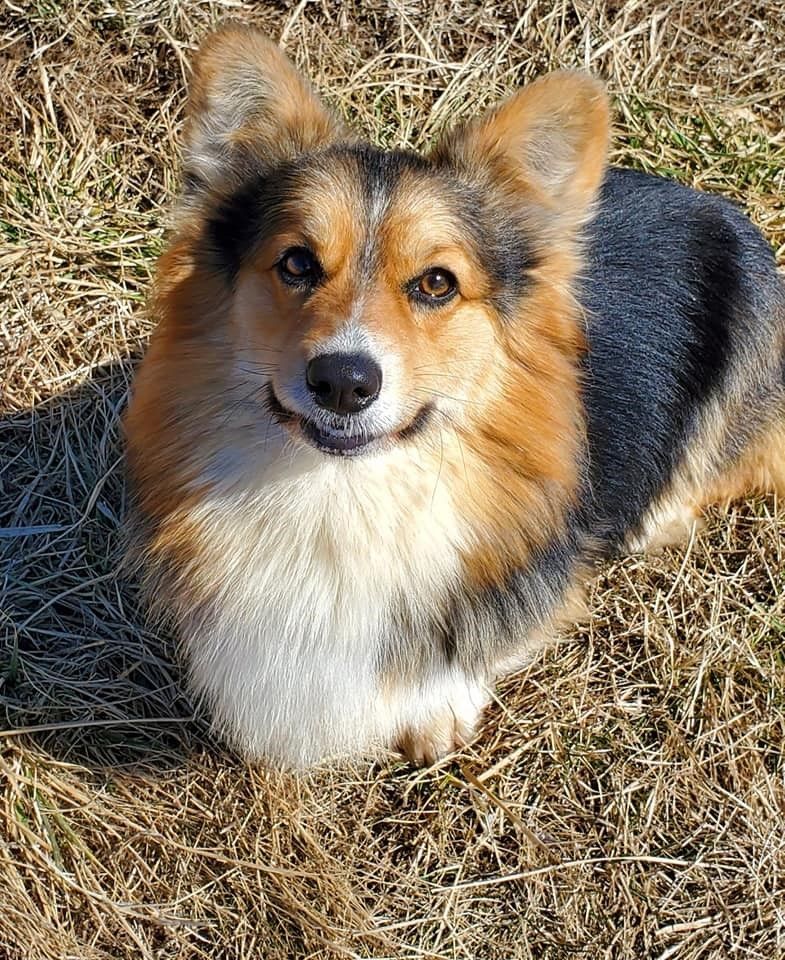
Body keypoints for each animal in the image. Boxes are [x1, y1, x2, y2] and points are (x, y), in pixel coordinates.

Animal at [122, 22, 784, 768]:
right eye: (296, 263)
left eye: (436, 283)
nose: (342, 382)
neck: (341, 490)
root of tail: (716, 206)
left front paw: (435, 715)